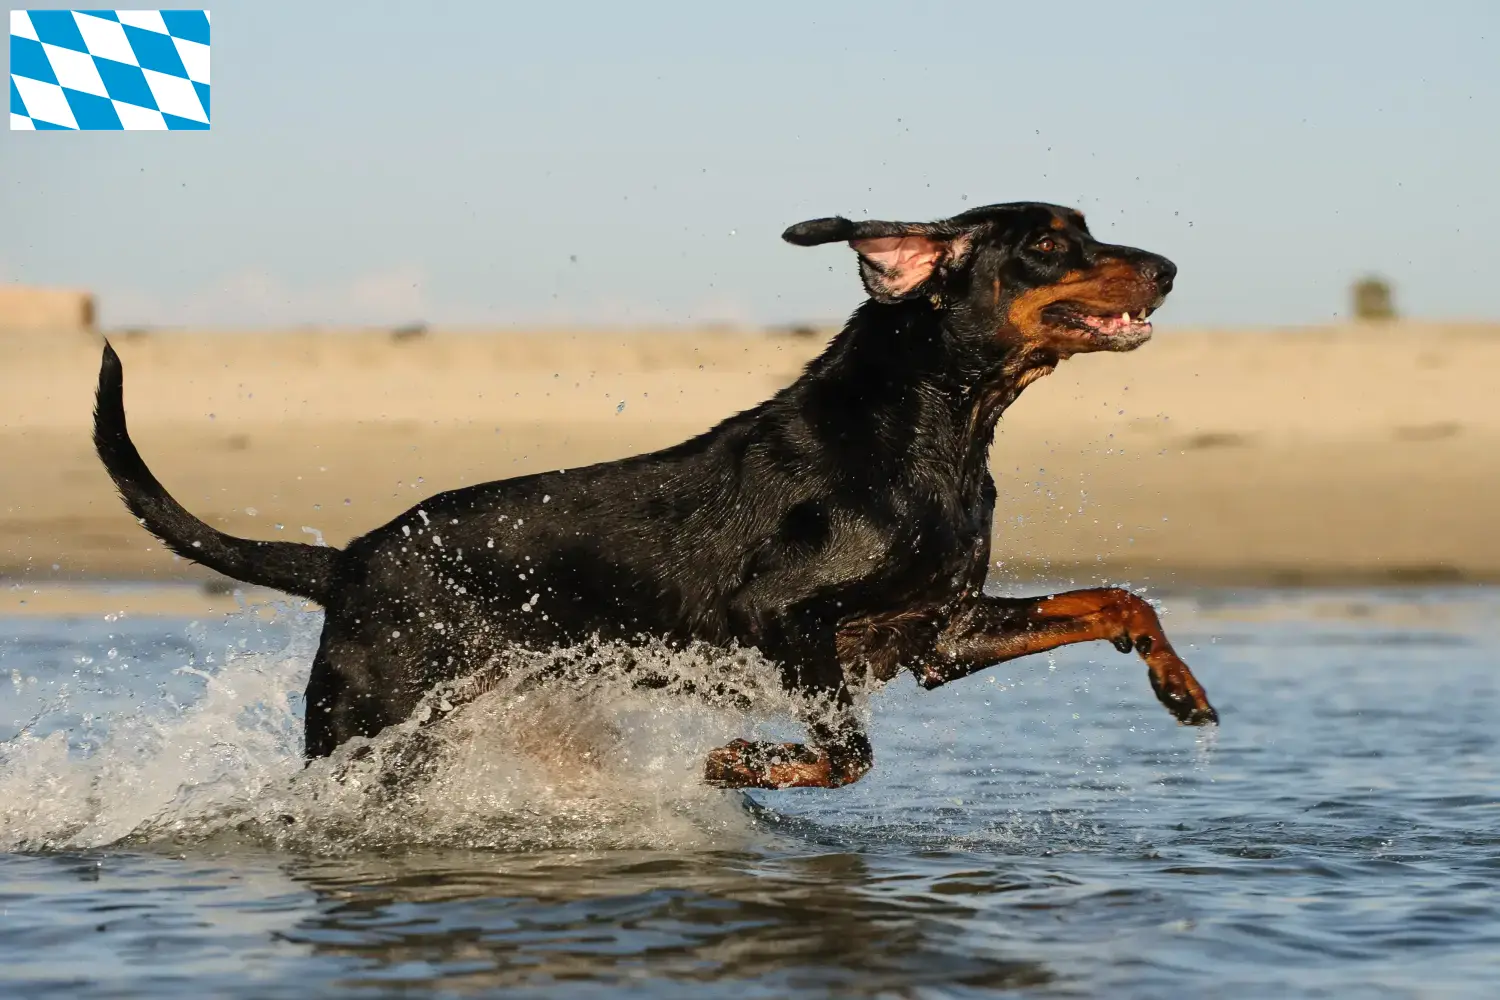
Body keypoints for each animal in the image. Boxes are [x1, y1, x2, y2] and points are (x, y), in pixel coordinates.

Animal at [90, 203, 1218, 791]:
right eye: (1050, 242)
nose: (1169, 265)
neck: (933, 431)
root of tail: (348, 560)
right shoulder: (782, 619)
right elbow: (848, 752)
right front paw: (744, 764)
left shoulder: (937, 632)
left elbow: (1116, 599)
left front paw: (1179, 687)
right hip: (368, 722)